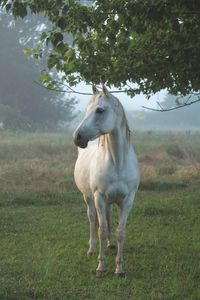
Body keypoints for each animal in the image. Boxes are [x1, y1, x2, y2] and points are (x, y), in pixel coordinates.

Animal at [72, 84, 140, 276]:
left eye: (100, 110)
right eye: (86, 110)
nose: (77, 137)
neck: (117, 162)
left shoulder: (128, 201)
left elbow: (121, 232)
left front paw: (119, 268)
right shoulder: (99, 198)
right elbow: (101, 230)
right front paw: (101, 266)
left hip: (109, 201)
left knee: (108, 217)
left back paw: (110, 244)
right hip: (89, 198)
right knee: (92, 219)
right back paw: (92, 248)